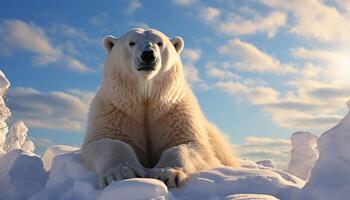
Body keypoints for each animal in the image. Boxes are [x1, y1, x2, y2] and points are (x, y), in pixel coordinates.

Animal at [81, 28, 239, 189]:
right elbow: (107, 140)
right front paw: (122, 172)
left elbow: (188, 143)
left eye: (160, 43)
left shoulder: (174, 110)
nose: (148, 55)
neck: (145, 97)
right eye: (132, 42)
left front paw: (166, 173)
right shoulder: (114, 109)